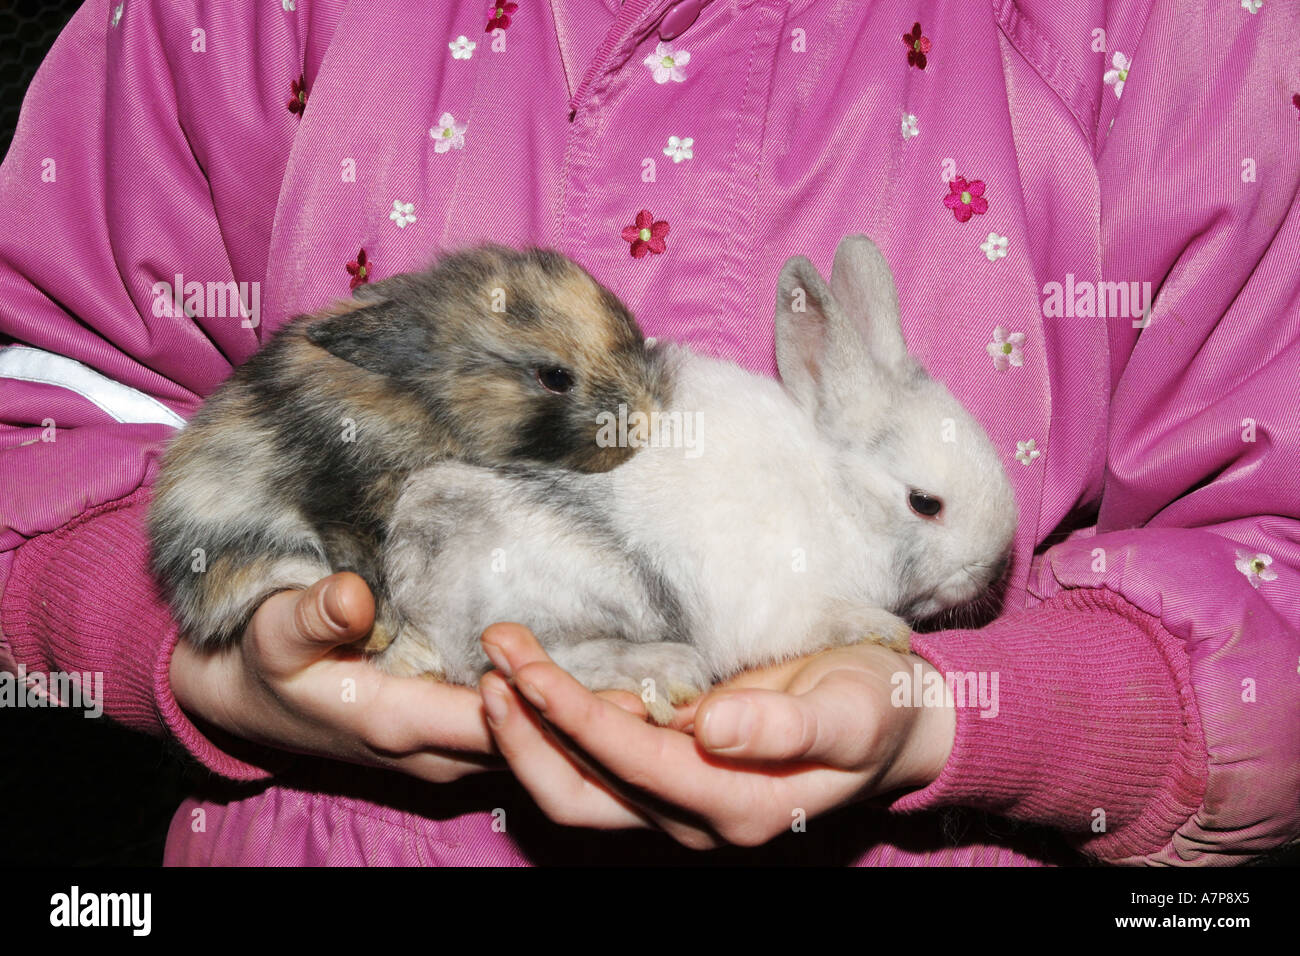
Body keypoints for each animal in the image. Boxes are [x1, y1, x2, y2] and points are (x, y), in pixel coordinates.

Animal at [149, 244, 669, 651]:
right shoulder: (339, 497)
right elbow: (357, 556)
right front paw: (379, 632)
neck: (427, 395)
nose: (644, 421)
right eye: (555, 378)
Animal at [372, 236, 1018, 724]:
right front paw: (881, 629)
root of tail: (415, 608)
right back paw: (667, 672)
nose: (991, 569)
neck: (840, 501)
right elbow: (826, 621)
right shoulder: (787, 606)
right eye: (924, 503)